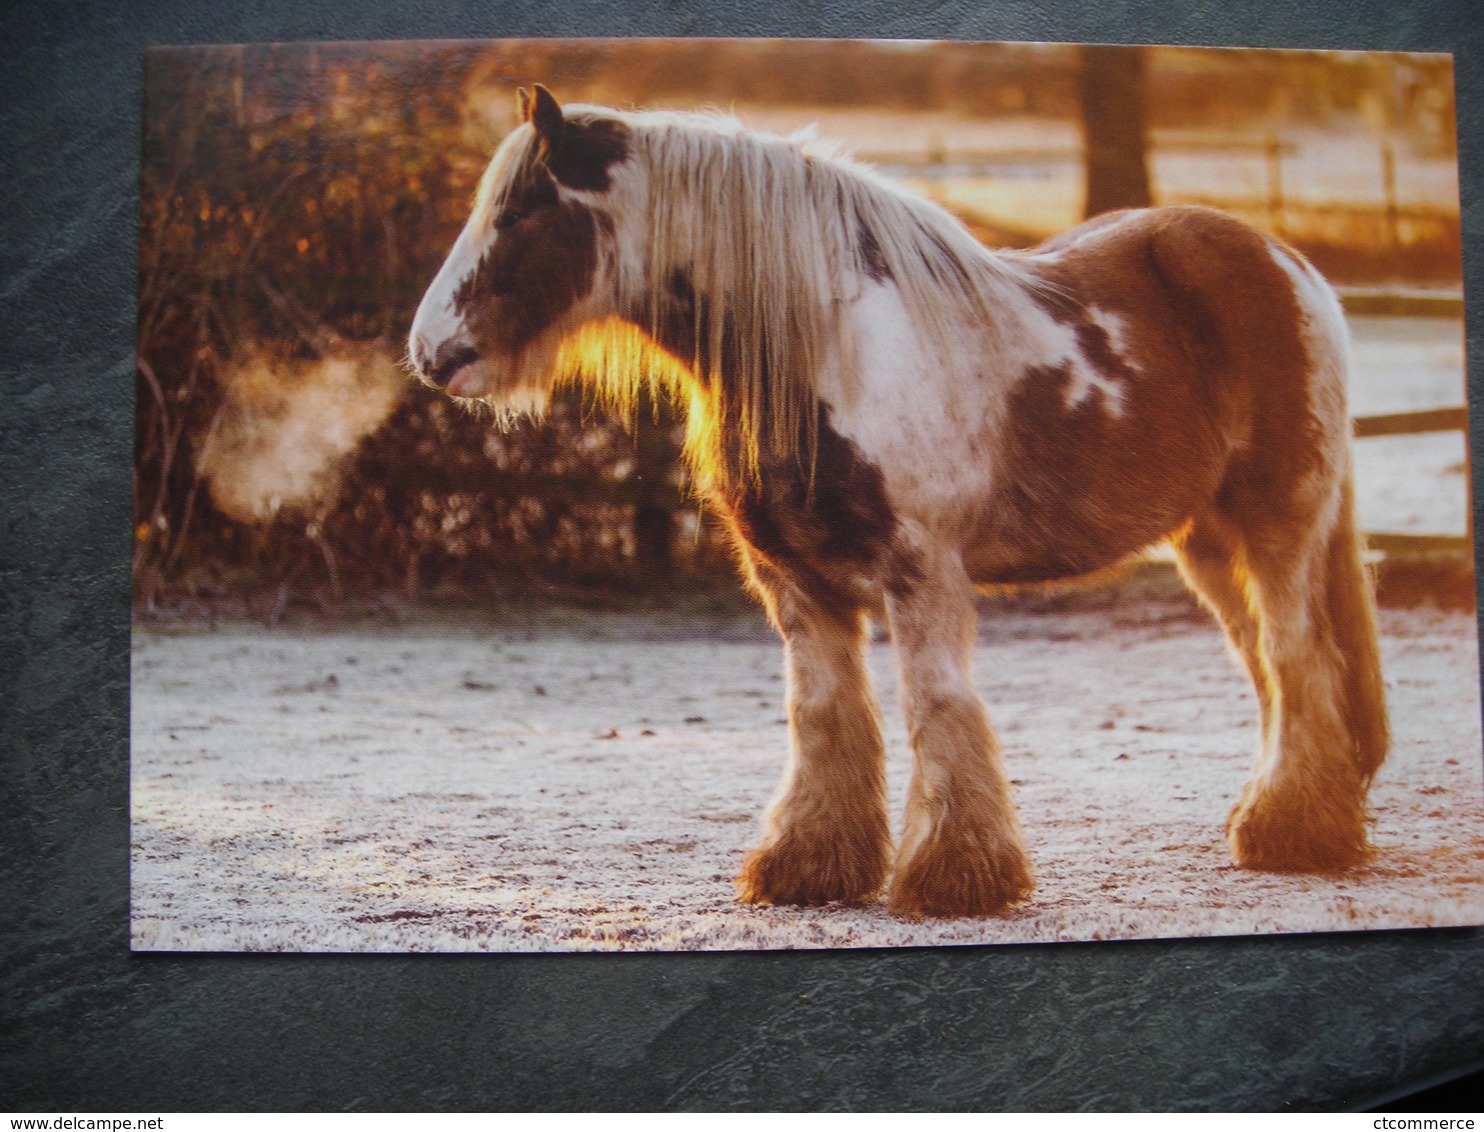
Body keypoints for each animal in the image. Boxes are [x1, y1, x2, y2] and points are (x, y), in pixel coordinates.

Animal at [409, 88, 1389, 919]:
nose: (430, 352)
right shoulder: (795, 580)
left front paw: (958, 876)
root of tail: (1287, 263)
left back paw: (1296, 836)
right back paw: (1288, 814)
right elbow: (825, 715)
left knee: (1298, 657)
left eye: (519, 212)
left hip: (1280, 524)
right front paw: (811, 864)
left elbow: (936, 706)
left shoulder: (921, 573)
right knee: (1269, 669)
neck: (828, 344)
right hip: (1208, 541)